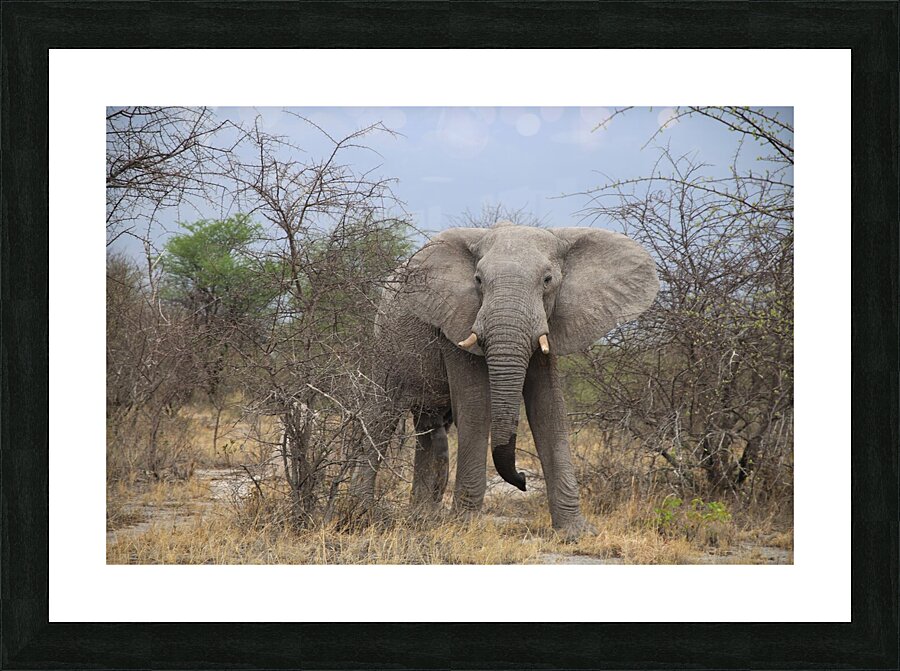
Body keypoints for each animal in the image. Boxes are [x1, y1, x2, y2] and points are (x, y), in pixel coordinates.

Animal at [353, 221, 658, 539]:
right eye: (478, 280)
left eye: (548, 280)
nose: (522, 479)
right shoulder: (457, 320)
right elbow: (476, 406)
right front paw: (464, 526)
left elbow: (548, 409)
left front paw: (578, 533)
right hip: (386, 343)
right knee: (380, 415)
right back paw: (362, 513)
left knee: (430, 427)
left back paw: (421, 518)